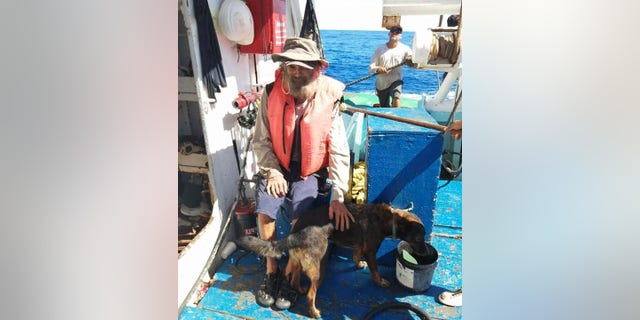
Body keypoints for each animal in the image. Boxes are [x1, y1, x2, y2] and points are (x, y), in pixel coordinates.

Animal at [235, 202, 424, 318]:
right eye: (418, 238)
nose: (424, 252)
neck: (390, 219)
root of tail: (295, 234)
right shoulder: (370, 251)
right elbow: (375, 271)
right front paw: (381, 281)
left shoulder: (358, 246)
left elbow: (355, 255)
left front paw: (358, 264)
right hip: (320, 267)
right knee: (311, 294)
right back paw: (313, 312)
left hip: (298, 261)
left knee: (294, 277)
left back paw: (299, 288)